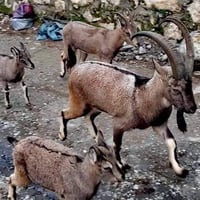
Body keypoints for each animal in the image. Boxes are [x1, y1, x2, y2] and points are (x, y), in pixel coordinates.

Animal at [58, 30, 197, 177]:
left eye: (190, 85)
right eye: (175, 89)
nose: (192, 108)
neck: (143, 96)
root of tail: (77, 69)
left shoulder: (159, 124)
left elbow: (171, 142)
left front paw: (180, 170)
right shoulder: (119, 124)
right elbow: (117, 145)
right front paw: (121, 165)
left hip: (98, 106)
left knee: (89, 117)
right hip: (79, 103)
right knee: (65, 113)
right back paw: (62, 135)